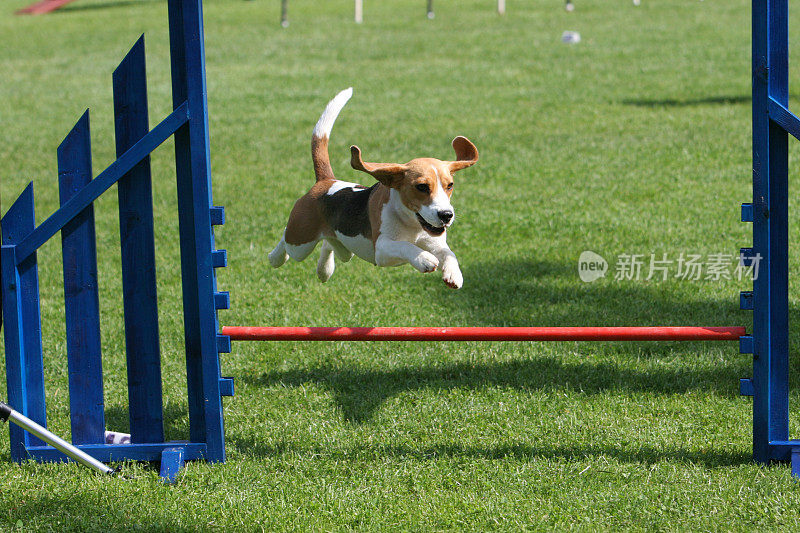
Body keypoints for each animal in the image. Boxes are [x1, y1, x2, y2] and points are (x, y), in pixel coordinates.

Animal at [272, 87, 478, 286]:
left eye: (450, 185)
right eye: (421, 187)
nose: (446, 215)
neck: (412, 225)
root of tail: (326, 181)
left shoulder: (436, 243)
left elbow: (449, 254)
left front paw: (454, 274)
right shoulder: (381, 250)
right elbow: (405, 246)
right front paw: (423, 258)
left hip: (344, 250)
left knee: (329, 244)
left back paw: (324, 270)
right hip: (300, 242)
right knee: (285, 238)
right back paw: (276, 258)